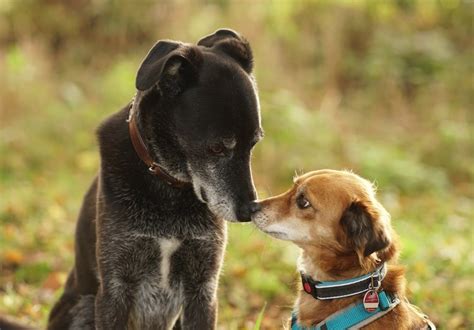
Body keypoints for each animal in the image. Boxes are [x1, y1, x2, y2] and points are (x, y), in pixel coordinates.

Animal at [47, 29, 262, 330]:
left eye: (253, 144)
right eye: (217, 148)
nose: (248, 212)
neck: (169, 185)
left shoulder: (202, 288)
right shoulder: (115, 288)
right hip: (84, 306)